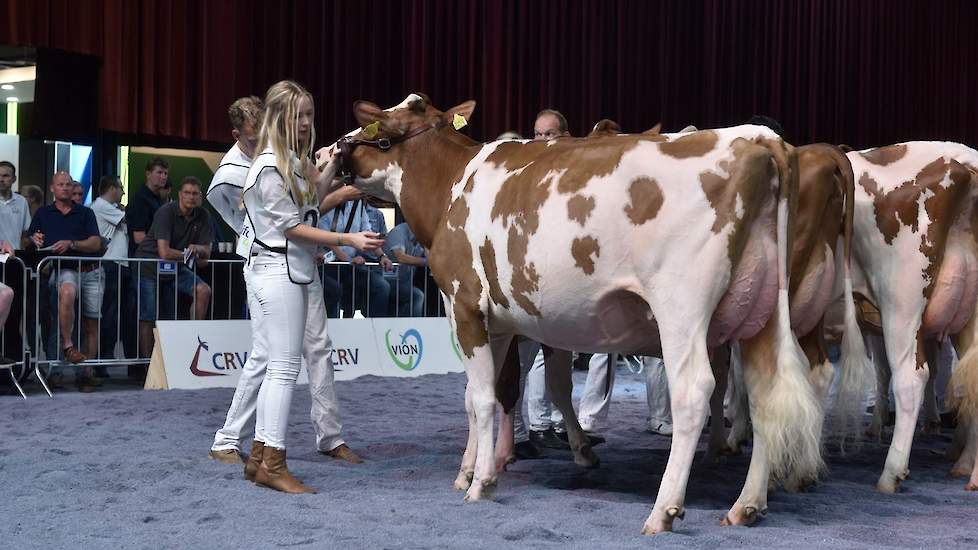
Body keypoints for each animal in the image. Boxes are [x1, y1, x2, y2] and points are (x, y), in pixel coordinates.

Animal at [340, 95, 820, 536]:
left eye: (380, 128)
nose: (340, 152)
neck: (453, 184)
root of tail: (759, 138)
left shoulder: (463, 303)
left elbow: (482, 398)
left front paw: (481, 484)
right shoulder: (497, 321)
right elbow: (482, 393)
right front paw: (467, 472)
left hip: (681, 309)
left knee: (695, 391)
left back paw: (663, 511)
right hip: (763, 311)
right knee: (764, 395)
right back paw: (747, 505)